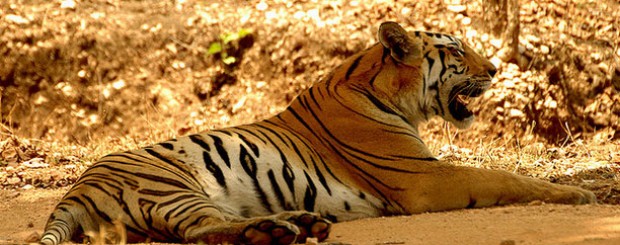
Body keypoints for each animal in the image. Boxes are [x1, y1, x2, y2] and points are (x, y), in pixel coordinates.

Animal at [40, 21, 596, 245]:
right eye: (458, 52)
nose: (497, 69)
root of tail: (77, 188)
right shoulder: (422, 179)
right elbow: (504, 177)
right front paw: (581, 193)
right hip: (173, 185)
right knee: (202, 229)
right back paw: (278, 230)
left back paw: (297, 225)